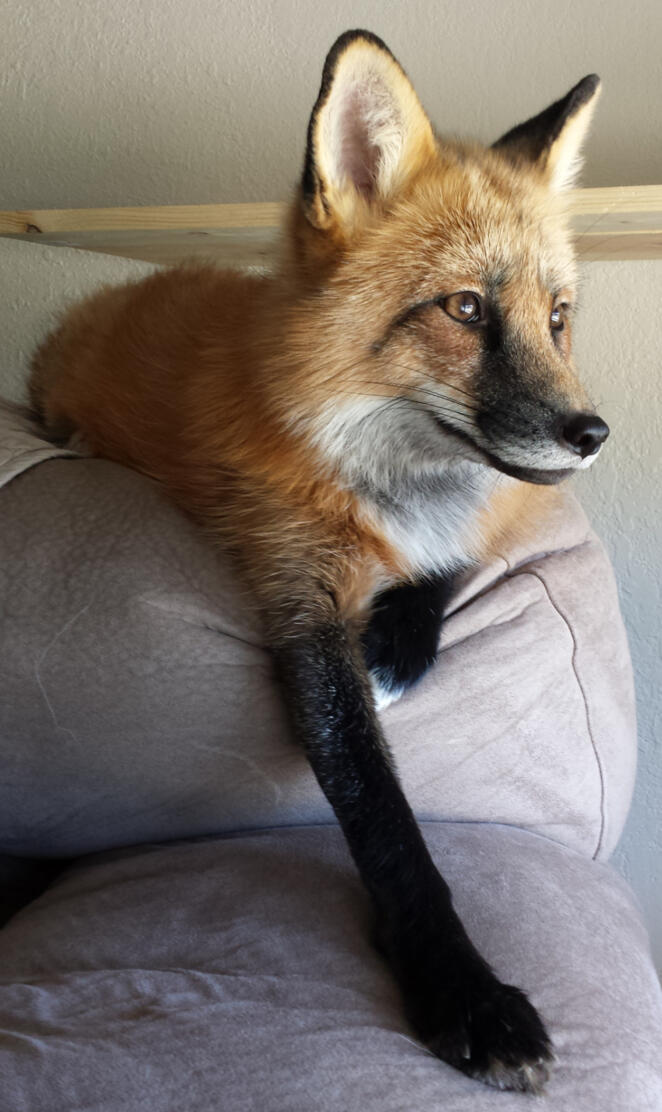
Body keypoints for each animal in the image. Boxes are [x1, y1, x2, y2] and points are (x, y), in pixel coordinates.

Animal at [28, 30, 607, 1094]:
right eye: (467, 308)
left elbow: (446, 565)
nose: (593, 435)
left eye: (557, 318)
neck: (386, 476)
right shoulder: (295, 585)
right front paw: (464, 991)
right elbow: (381, 815)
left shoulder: (479, 516)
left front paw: (404, 639)